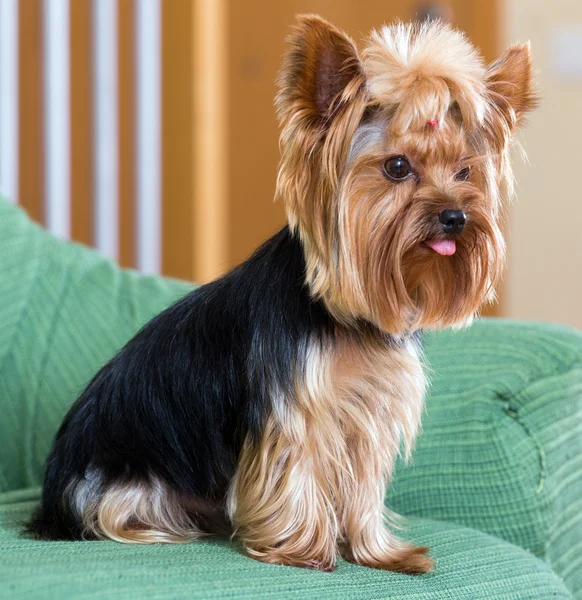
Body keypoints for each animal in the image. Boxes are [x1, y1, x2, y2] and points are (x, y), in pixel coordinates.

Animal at [27, 16, 540, 576]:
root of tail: (48, 503)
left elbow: (364, 486)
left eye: (466, 172)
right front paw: (304, 550)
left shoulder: (371, 413)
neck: (345, 311)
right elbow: (297, 471)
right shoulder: (297, 408)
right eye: (397, 167)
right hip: (122, 484)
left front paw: (379, 553)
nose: (455, 216)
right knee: (121, 514)